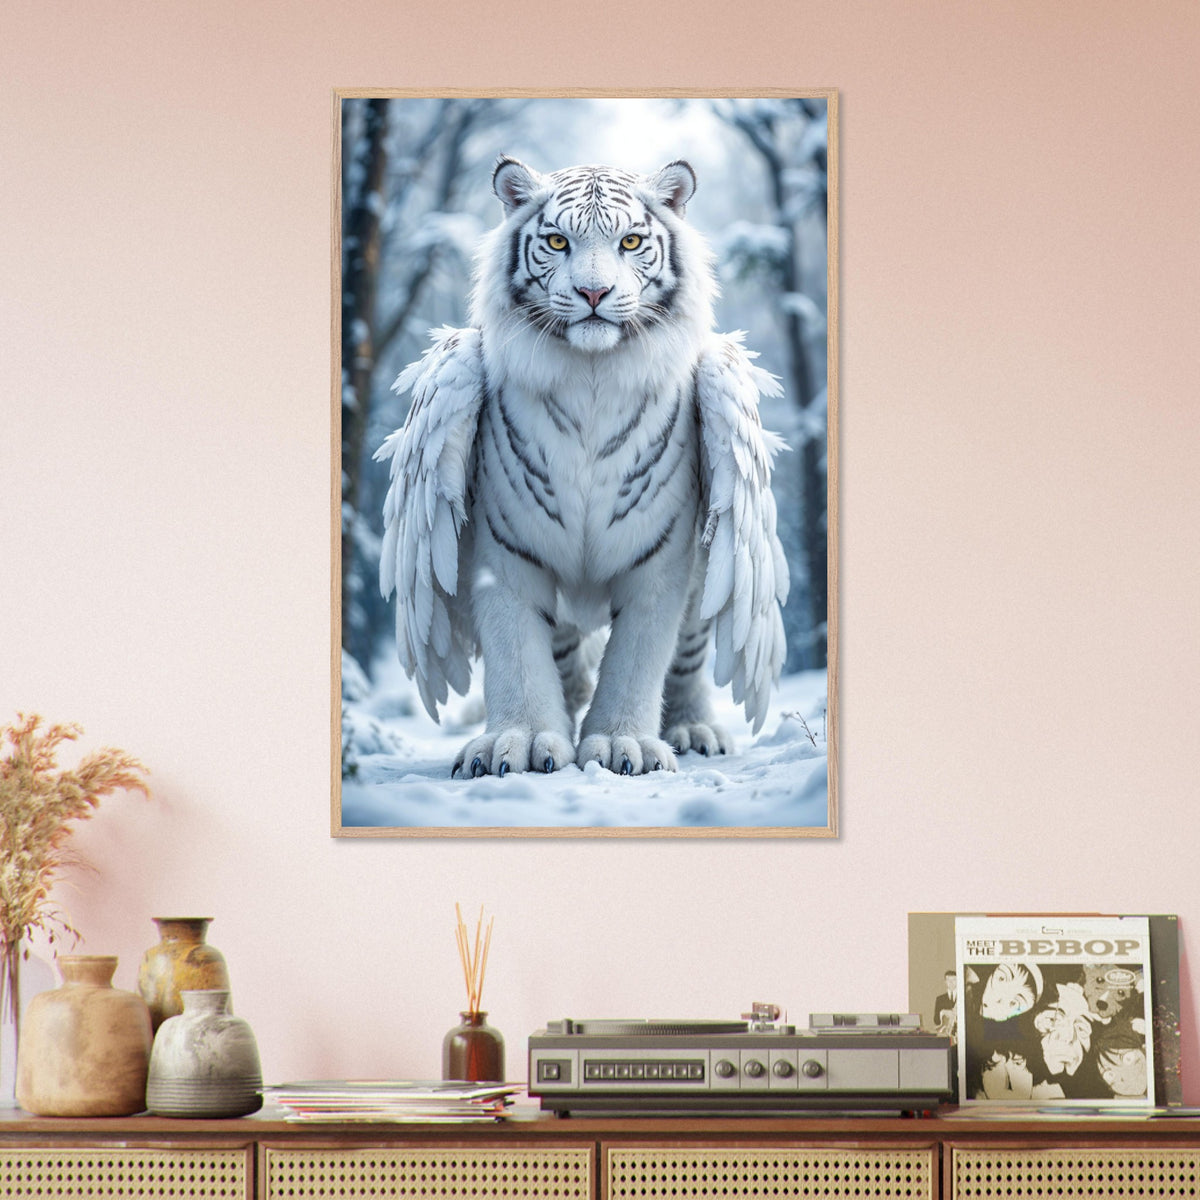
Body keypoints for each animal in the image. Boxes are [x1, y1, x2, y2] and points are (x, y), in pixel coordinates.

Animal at [377, 157, 789, 777]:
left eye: (631, 241)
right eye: (556, 241)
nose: (594, 291)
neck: (591, 377)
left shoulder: (661, 562)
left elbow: (640, 656)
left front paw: (624, 745)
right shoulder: (506, 554)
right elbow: (516, 650)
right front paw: (519, 742)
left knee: (688, 658)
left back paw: (693, 730)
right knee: (565, 657)